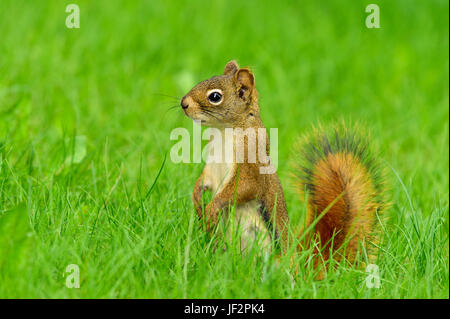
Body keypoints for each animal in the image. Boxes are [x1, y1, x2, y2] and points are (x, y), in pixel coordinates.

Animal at [179, 60, 386, 272]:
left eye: (215, 96)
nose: (183, 103)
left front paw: (212, 207)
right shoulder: (213, 164)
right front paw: (197, 199)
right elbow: (206, 180)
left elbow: (242, 188)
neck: (224, 132)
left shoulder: (251, 167)